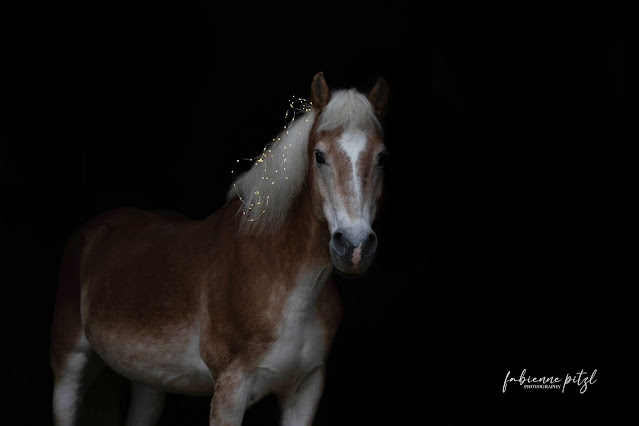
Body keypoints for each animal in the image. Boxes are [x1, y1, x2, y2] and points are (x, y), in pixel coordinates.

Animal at [50, 71, 390, 424]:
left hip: (149, 382)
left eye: (382, 158)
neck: (286, 280)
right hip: (69, 365)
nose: (354, 246)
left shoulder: (306, 390)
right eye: (319, 156)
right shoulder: (230, 389)